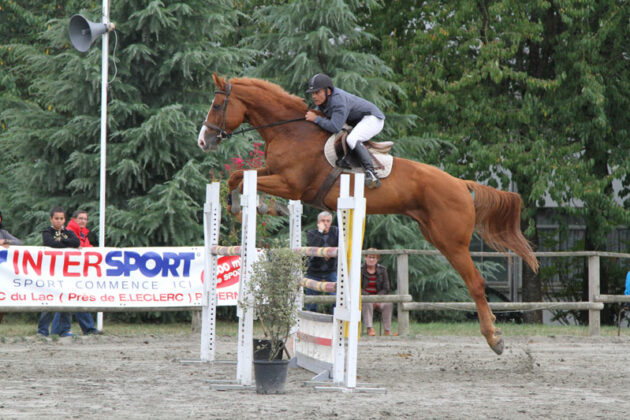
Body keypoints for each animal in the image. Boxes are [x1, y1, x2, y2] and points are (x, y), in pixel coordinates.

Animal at [200, 73, 540, 354]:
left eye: (216, 105)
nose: (204, 141)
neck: (291, 131)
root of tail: (459, 183)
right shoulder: (274, 173)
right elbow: (237, 176)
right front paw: (246, 206)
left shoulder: (291, 184)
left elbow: (241, 177)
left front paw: (255, 207)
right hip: (436, 236)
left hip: (452, 242)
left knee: (477, 284)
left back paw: (495, 339)